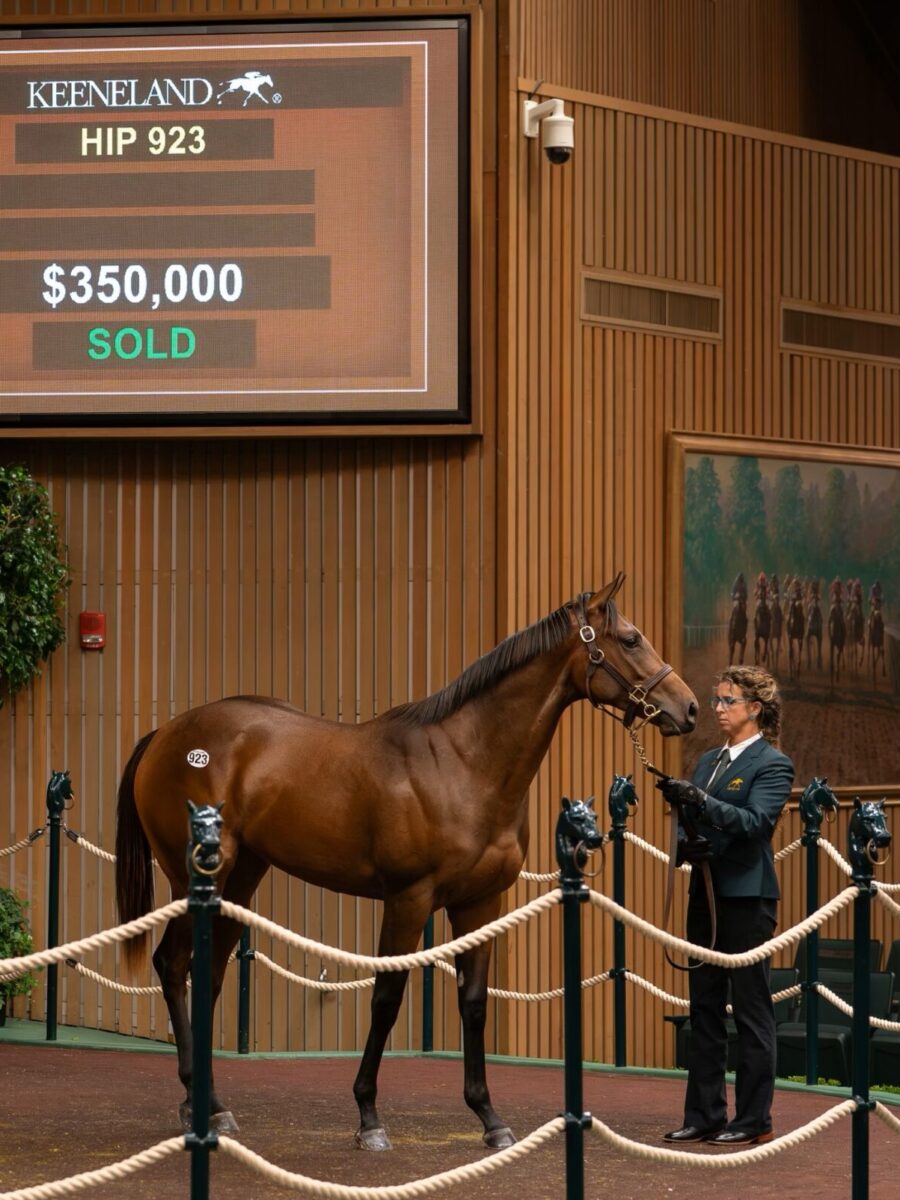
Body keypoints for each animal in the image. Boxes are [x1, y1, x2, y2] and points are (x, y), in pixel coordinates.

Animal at [116, 576, 700, 1147]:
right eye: (631, 640)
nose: (689, 708)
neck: (464, 763)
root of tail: (166, 735)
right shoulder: (408, 899)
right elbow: (387, 997)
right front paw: (369, 1117)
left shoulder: (480, 904)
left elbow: (473, 1001)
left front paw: (489, 1117)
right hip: (193, 878)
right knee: (173, 965)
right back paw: (203, 1102)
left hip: (239, 880)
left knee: (207, 975)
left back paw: (210, 1104)